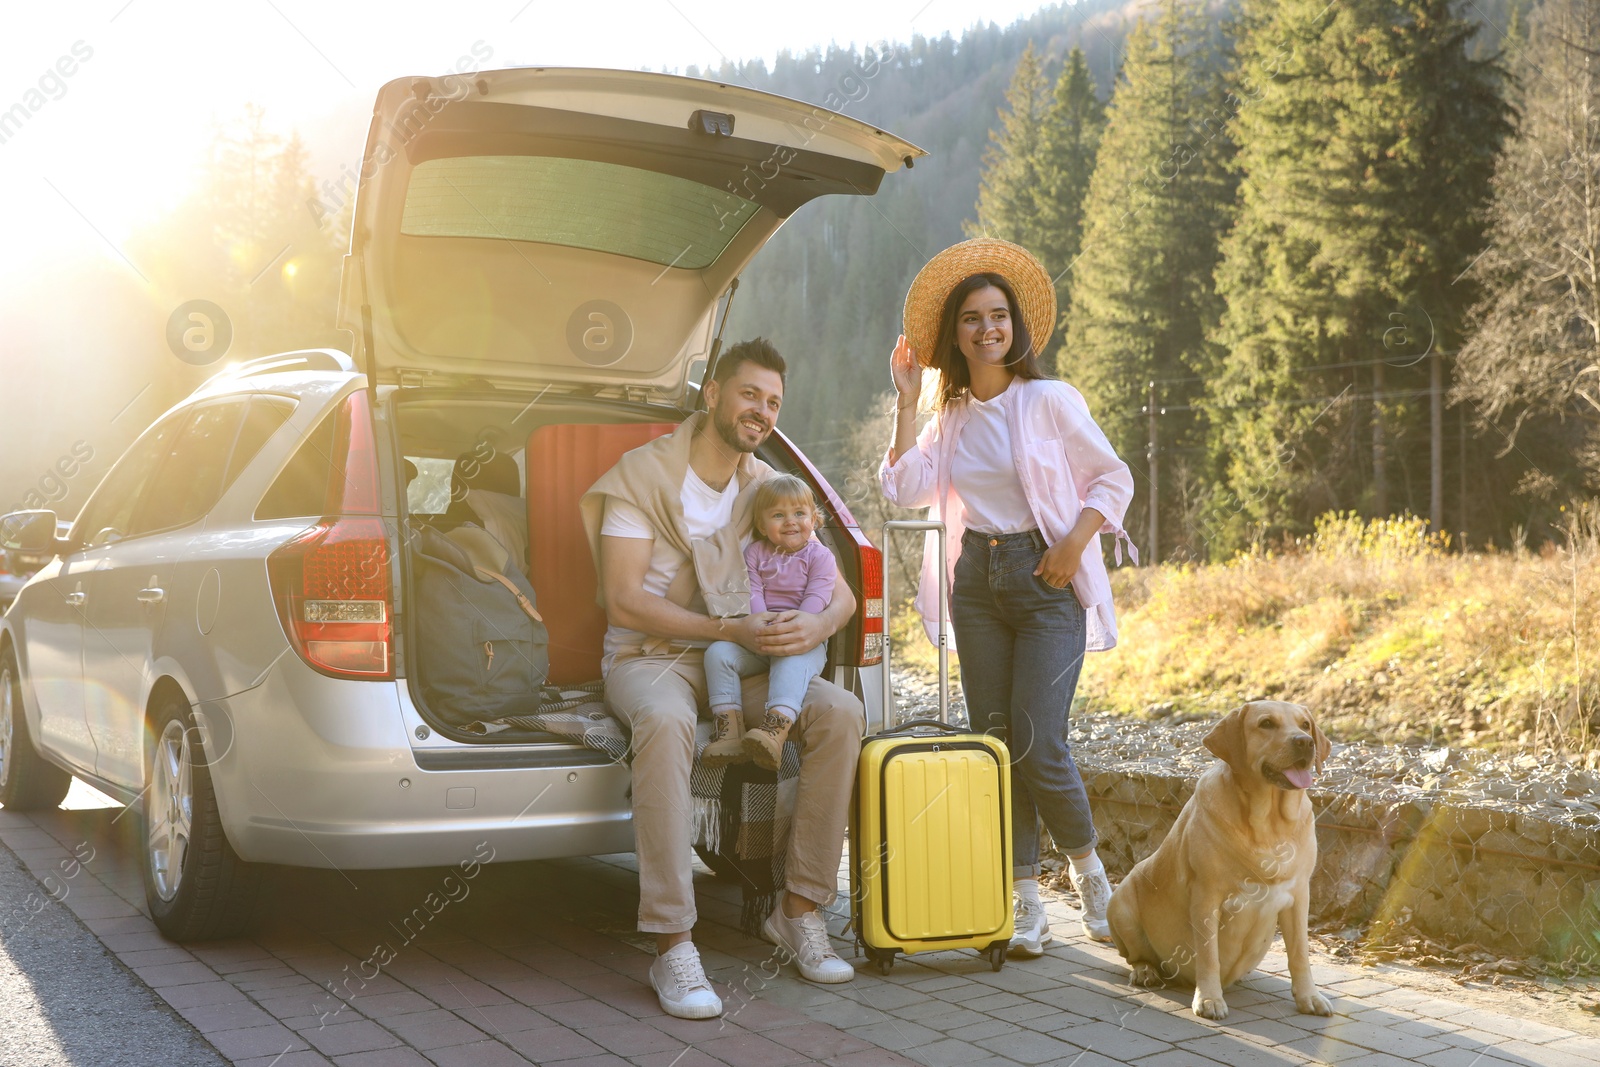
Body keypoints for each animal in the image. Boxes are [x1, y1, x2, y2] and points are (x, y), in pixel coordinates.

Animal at [1107, 700, 1331, 1017]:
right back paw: (1145, 971)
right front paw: (1209, 998)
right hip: (1120, 903)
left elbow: (1300, 953)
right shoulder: (1206, 897)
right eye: (1266, 724)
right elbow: (1208, 955)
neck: (1268, 825)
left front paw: (1309, 996)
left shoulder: (1299, 896)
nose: (1304, 742)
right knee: (1134, 955)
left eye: (1305, 725)